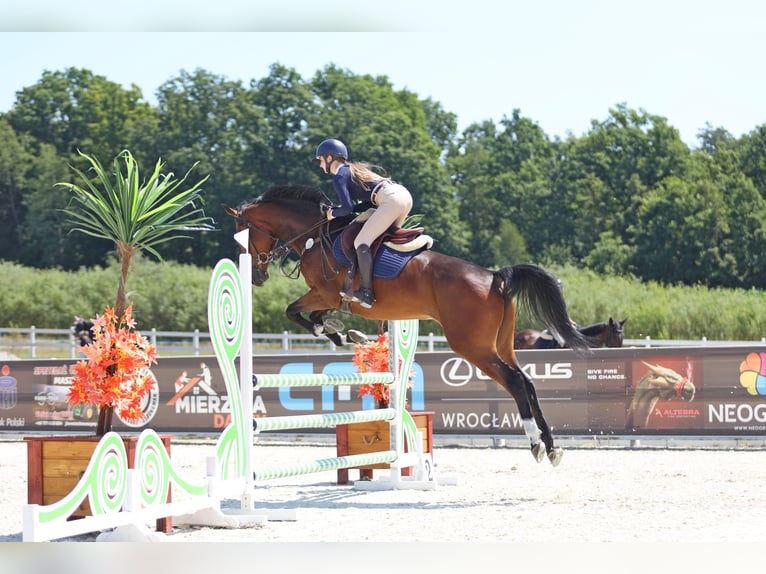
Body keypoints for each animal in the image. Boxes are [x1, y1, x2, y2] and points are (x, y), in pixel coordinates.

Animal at [224, 184, 591, 466]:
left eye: (242, 236)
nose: (256, 277)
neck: (315, 234)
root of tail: (494, 277)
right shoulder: (330, 298)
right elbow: (315, 318)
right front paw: (345, 333)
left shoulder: (323, 293)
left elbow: (294, 312)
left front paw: (337, 333)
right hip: (502, 343)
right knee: (527, 381)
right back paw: (552, 446)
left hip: (473, 347)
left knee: (514, 382)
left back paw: (534, 442)